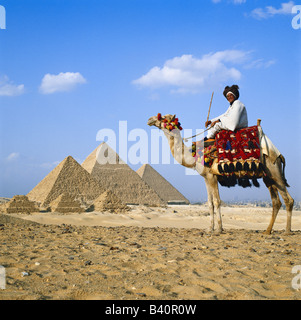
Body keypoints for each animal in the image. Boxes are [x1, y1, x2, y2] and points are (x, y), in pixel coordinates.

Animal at [148, 114, 292, 234]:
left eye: (163, 117)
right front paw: (209, 228)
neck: (194, 155)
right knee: (276, 202)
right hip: (268, 177)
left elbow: (217, 201)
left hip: (275, 171)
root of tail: (279, 155)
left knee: (288, 200)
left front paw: (219, 229)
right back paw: (267, 230)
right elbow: (210, 202)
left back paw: (287, 231)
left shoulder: (212, 176)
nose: (150, 119)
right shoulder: (206, 177)